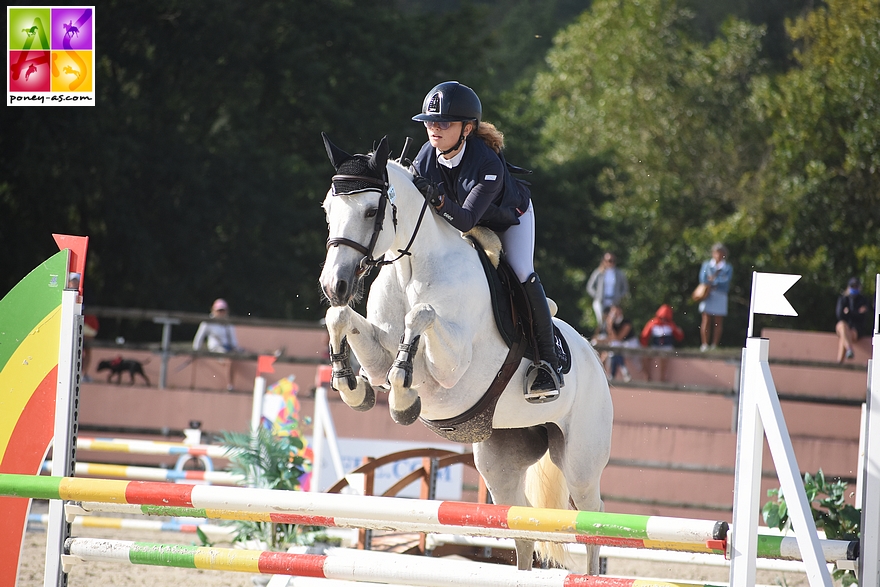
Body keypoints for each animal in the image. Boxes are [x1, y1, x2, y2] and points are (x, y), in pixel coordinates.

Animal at [320, 134, 616, 576]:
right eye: (327, 209)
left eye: (372, 210)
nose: (333, 284)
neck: (412, 269)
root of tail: (595, 359)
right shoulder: (377, 355)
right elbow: (340, 319)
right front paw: (351, 387)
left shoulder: (451, 368)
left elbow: (421, 316)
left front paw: (403, 398)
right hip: (500, 461)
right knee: (522, 526)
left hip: (580, 461)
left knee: (592, 516)